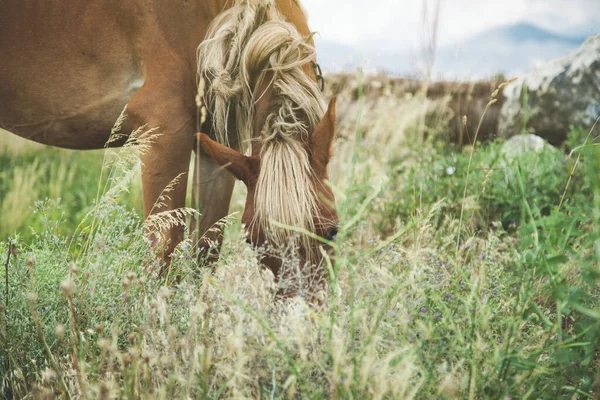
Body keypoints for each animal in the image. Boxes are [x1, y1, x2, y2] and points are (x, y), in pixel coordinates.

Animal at [0, 0, 338, 294]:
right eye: (253, 241)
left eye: (332, 231)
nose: (299, 318)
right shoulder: (164, 132)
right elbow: (163, 246)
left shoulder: (216, 149)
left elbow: (207, 245)